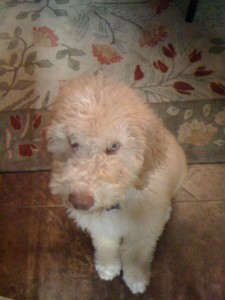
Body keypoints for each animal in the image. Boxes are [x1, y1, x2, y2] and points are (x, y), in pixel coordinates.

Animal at [45, 74, 186, 294]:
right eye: (72, 142)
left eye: (113, 146)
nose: (80, 202)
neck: (118, 201)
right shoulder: (100, 227)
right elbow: (105, 245)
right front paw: (107, 267)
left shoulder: (143, 231)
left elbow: (137, 253)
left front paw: (136, 277)